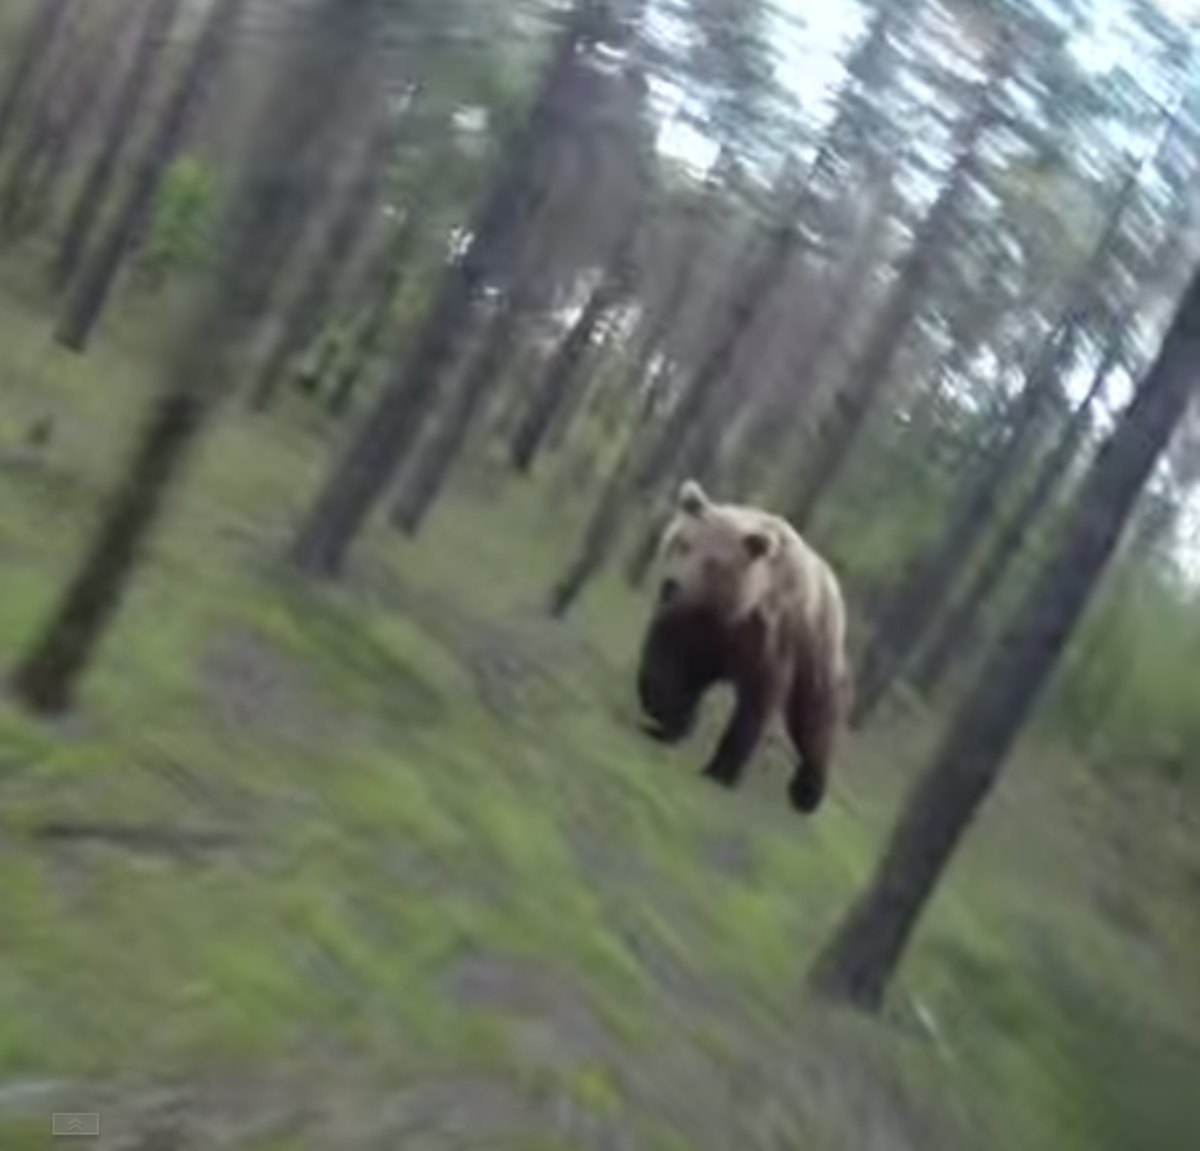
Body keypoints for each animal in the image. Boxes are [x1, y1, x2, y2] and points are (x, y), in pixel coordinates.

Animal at [634, 478, 851, 814]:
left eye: (712, 562)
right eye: (683, 543)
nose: (670, 585)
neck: (723, 607)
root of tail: (829, 578)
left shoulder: (765, 636)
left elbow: (757, 702)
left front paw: (721, 771)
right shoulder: (689, 624)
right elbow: (664, 661)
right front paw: (670, 720)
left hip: (817, 641)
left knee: (817, 709)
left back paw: (808, 789)